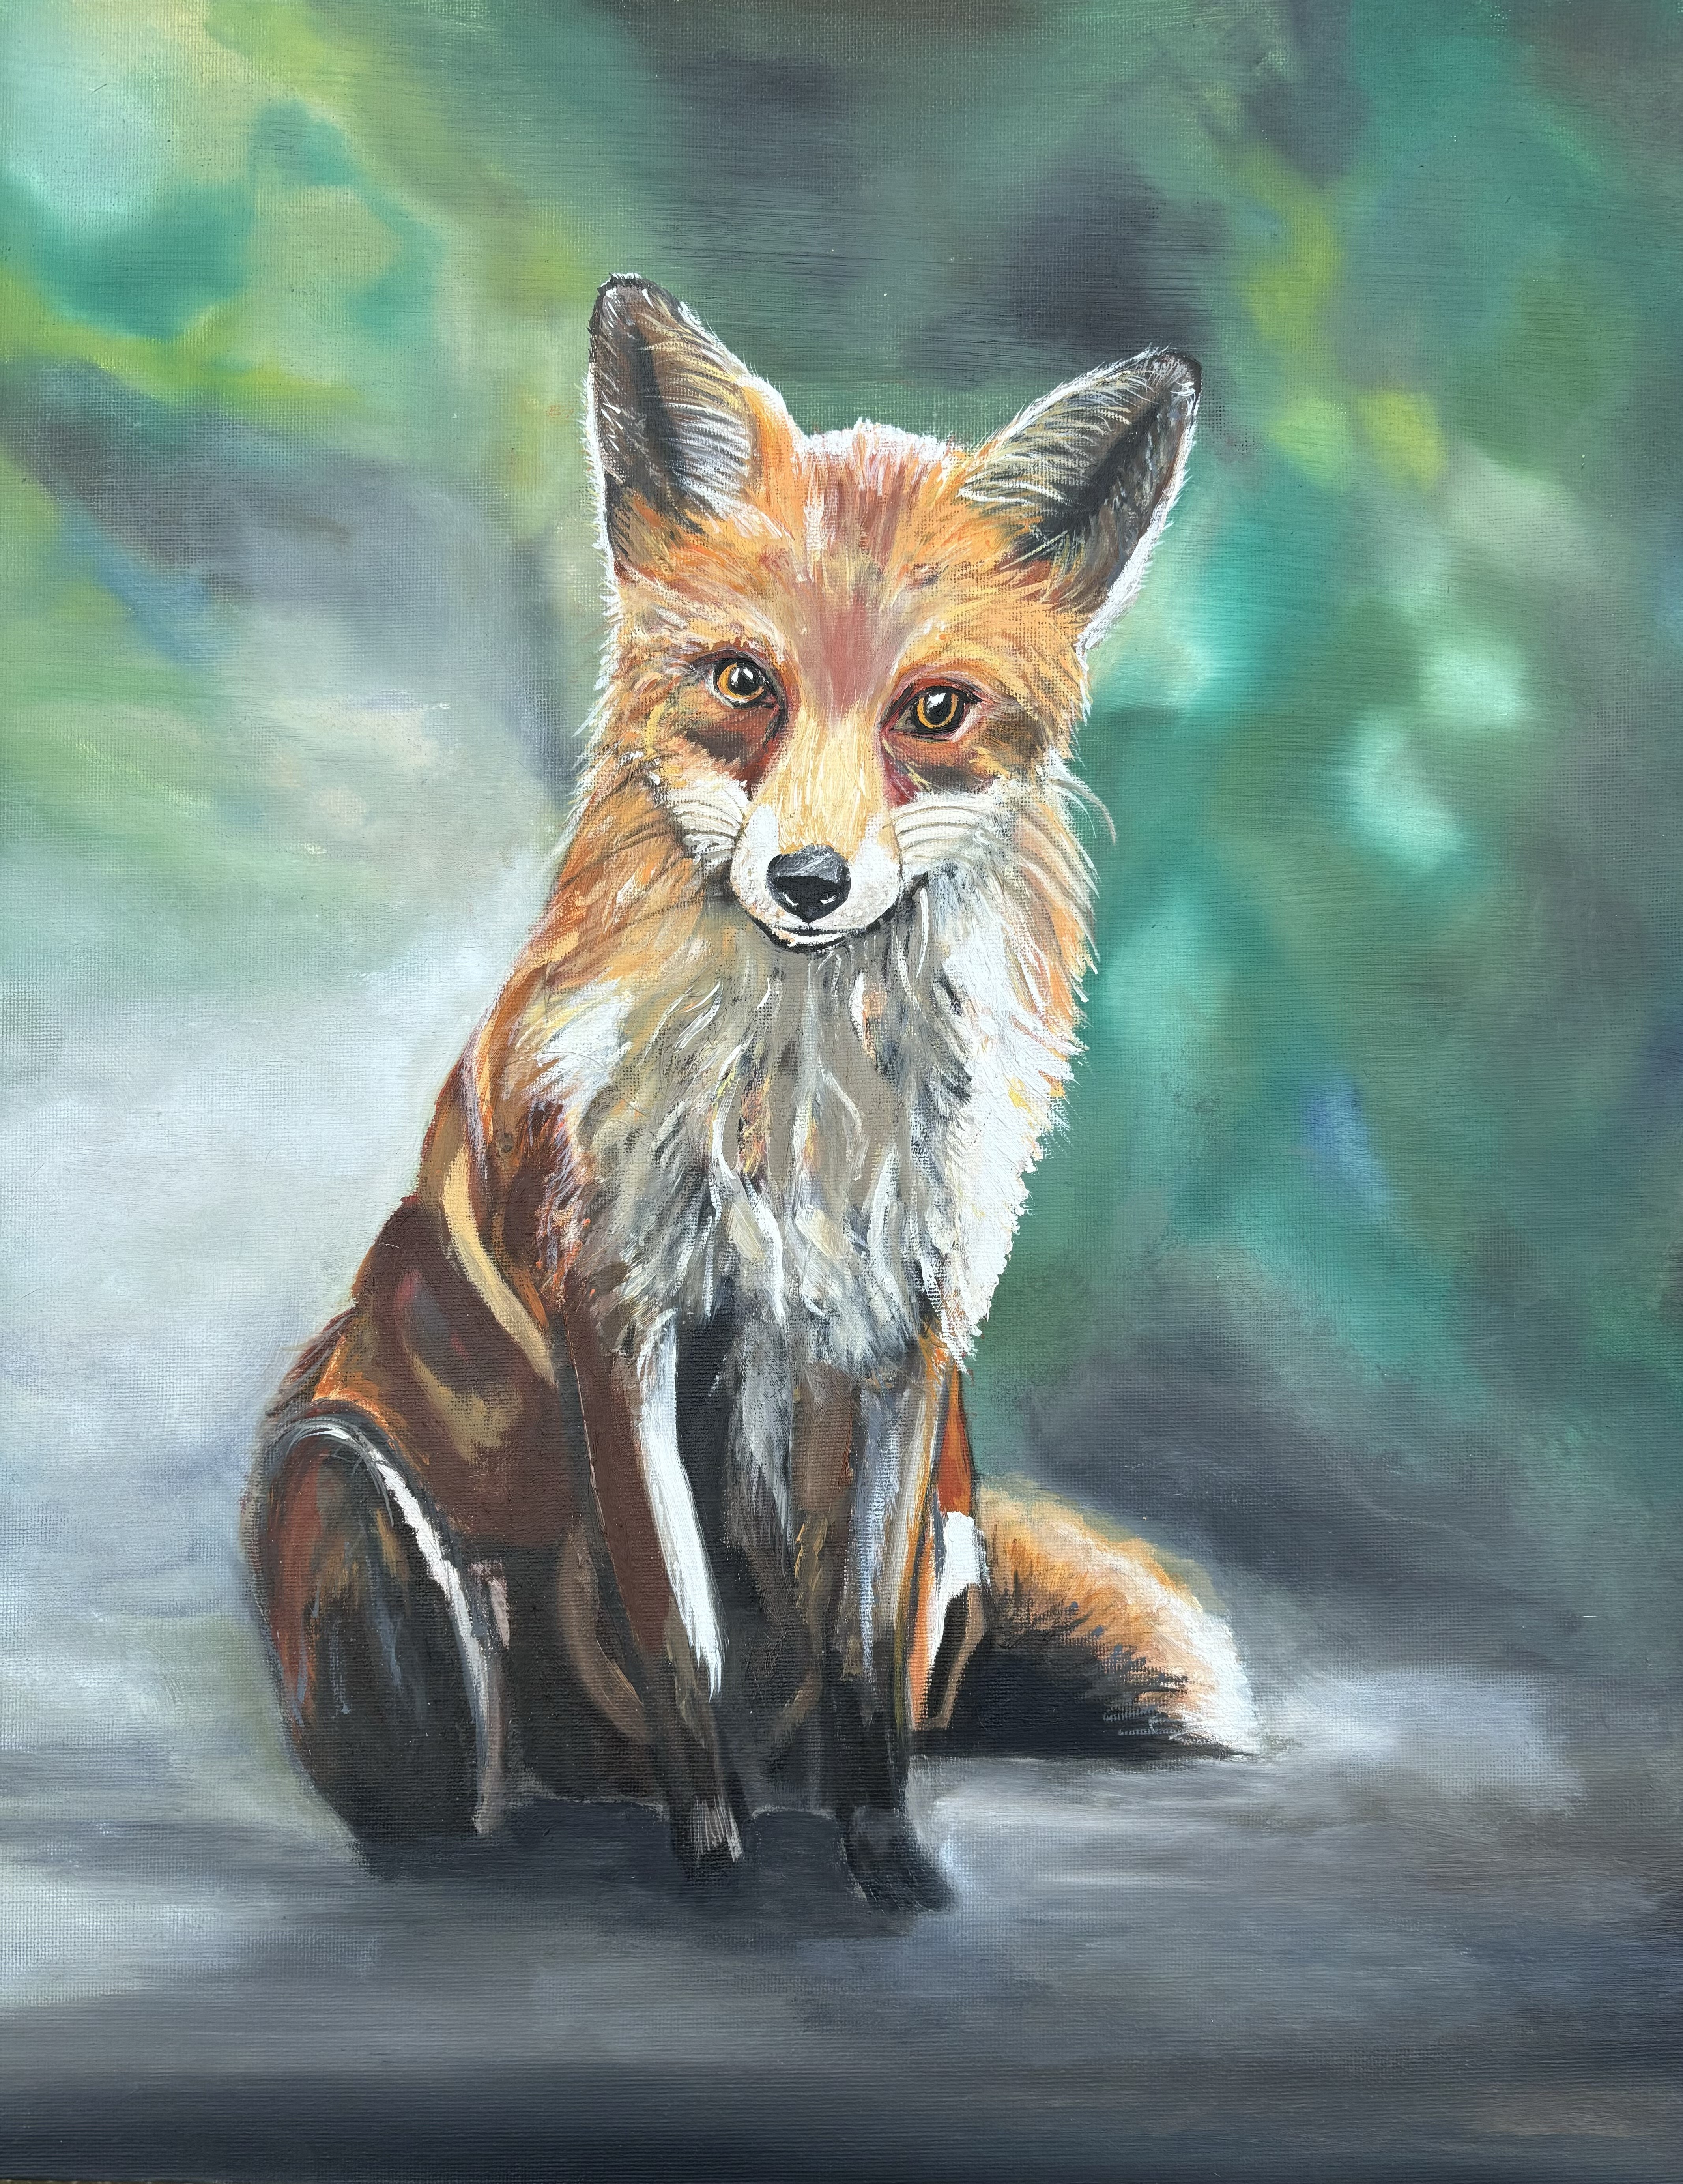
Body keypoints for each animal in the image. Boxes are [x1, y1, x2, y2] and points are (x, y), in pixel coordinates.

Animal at [245, 277, 1254, 1911]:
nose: (807, 881)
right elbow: (682, 1636)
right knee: (470, 1781)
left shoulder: (911, 1340)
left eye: (932, 710)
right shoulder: (625, 1314)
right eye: (741, 684)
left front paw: (886, 1863)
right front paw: (714, 1869)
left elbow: (857, 1664)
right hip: (354, 1495)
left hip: (956, 1536)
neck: (806, 1109)